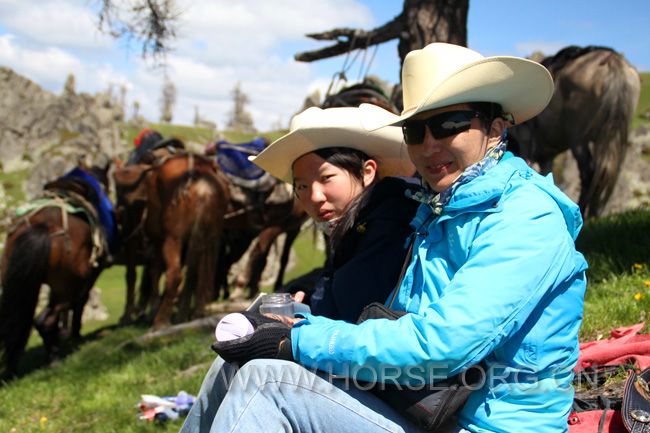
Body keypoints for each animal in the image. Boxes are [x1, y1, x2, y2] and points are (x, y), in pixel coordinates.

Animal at [0, 160, 113, 376]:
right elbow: (80, 304)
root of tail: (43, 226)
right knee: (45, 320)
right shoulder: (90, 276)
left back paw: (12, 368)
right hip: (66, 287)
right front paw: (73, 333)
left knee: (22, 322)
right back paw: (53, 358)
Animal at [508, 45, 640, 218]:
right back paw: (595, 214)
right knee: (608, 171)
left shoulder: (525, 142)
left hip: (579, 138)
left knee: (589, 173)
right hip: (614, 135)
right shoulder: (546, 156)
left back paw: (583, 211)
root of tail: (613, 60)